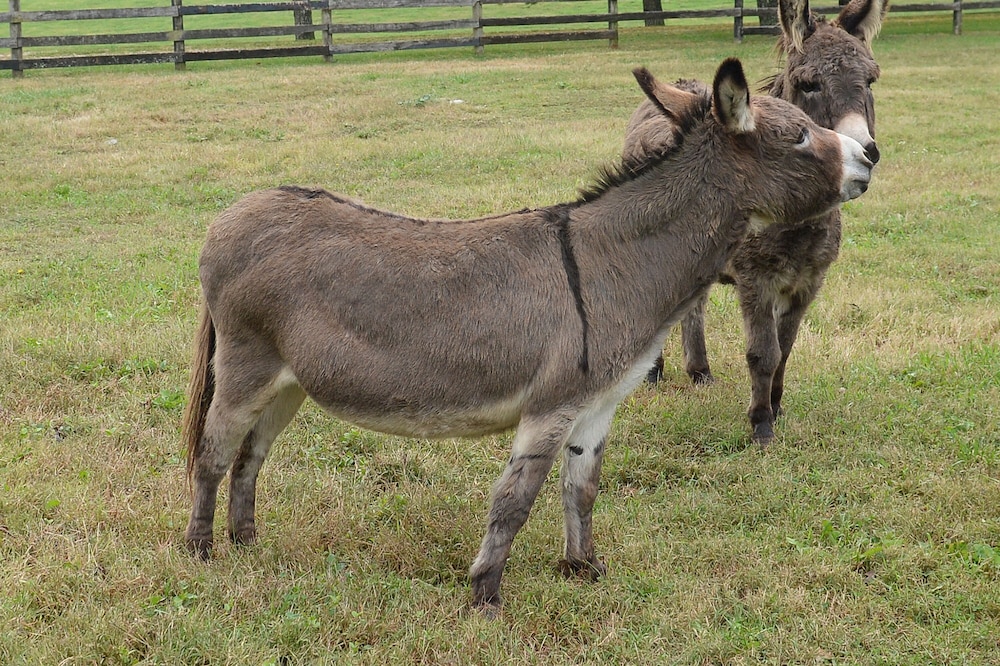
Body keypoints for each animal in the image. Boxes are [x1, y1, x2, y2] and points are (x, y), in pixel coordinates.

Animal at [182, 58, 873, 613]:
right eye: (798, 135)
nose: (870, 157)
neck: (615, 261)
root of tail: (229, 216)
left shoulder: (597, 406)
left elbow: (581, 488)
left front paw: (584, 569)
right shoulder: (550, 406)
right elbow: (514, 500)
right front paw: (484, 596)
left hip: (290, 383)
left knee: (250, 455)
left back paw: (246, 542)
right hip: (245, 369)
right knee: (213, 452)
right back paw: (201, 552)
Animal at [628, 0, 887, 444]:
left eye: (870, 79)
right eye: (808, 84)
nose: (865, 152)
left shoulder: (807, 283)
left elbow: (786, 349)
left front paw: (777, 408)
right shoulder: (755, 280)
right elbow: (763, 353)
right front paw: (761, 424)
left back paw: (700, 372)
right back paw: (655, 372)